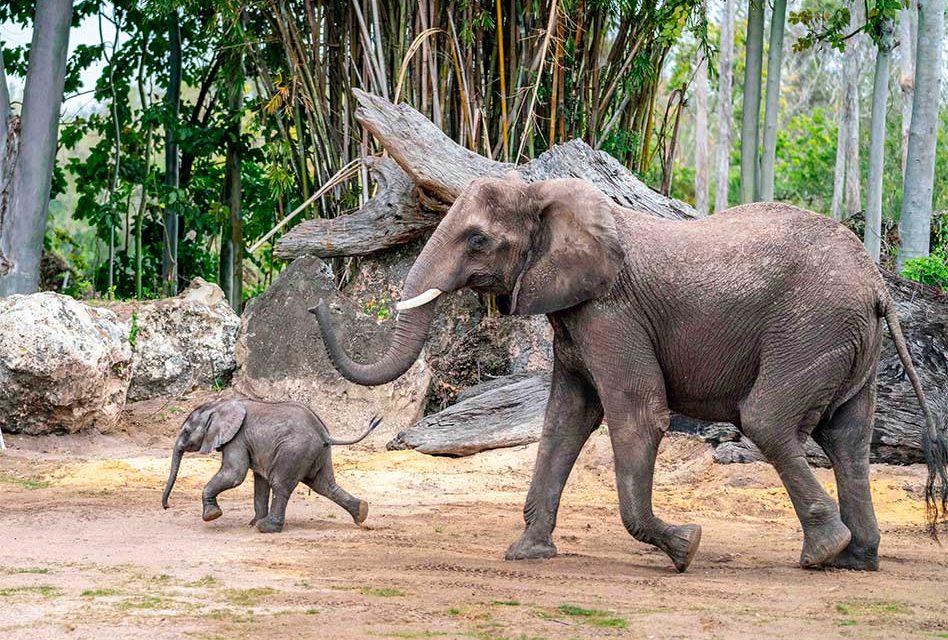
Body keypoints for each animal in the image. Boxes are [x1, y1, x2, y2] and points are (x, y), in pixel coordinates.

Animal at [162, 397, 381, 533]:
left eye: (186, 432)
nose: (167, 506)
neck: (218, 405)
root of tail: (325, 434)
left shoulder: (237, 438)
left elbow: (235, 474)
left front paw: (212, 516)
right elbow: (259, 482)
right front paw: (251, 523)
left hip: (294, 450)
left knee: (281, 484)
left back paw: (266, 528)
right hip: (317, 453)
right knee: (324, 485)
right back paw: (362, 513)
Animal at [312, 173, 944, 572]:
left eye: (478, 239)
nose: (319, 301)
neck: (543, 194)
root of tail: (878, 284)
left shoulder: (610, 311)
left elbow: (636, 415)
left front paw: (686, 548)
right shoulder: (576, 316)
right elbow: (565, 421)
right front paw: (527, 554)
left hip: (812, 327)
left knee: (769, 420)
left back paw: (823, 553)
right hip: (847, 342)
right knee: (847, 438)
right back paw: (856, 559)